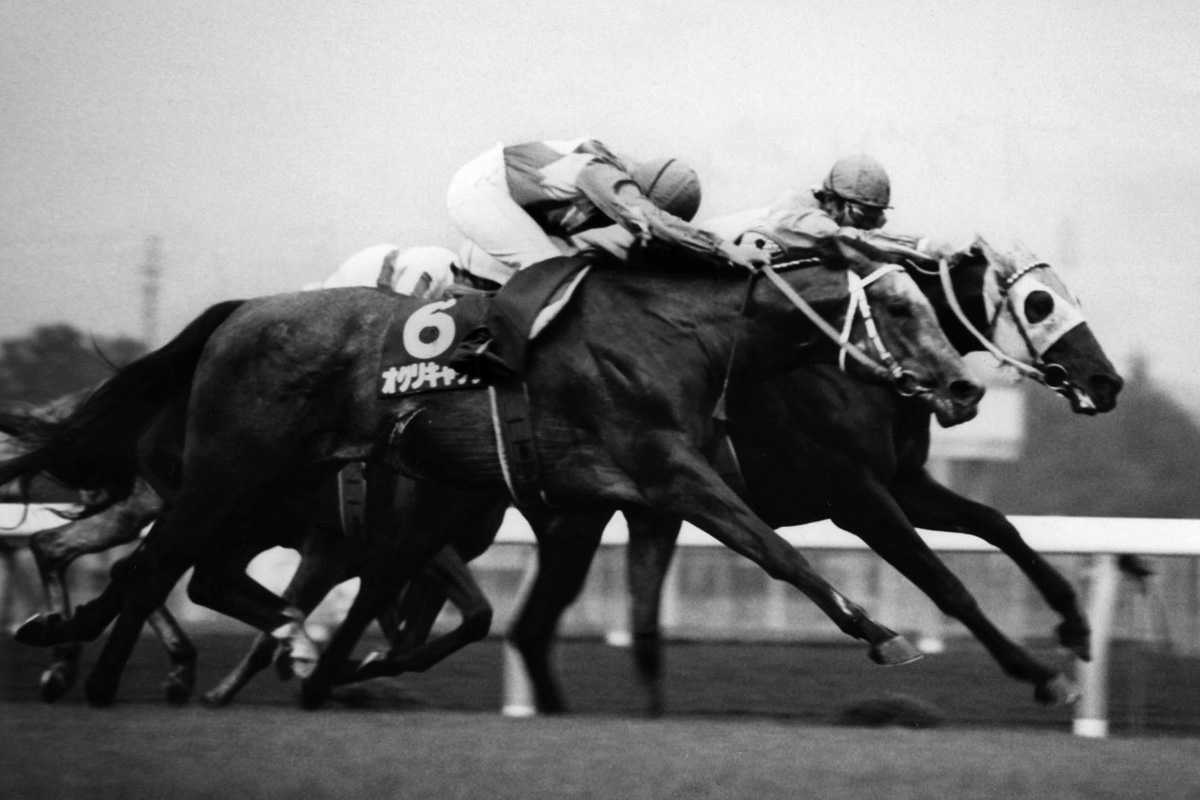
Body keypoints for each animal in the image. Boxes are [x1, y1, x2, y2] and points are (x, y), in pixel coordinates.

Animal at [1, 247, 981, 707]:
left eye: (935, 306)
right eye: (900, 309)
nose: (965, 387)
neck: (679, 336)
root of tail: (239, 313)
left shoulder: (610, 502)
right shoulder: (671, 474)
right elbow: (781, 554)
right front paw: (884, 632)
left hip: (248, 496)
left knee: (170, 570)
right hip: (222, 477)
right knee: (151, 568)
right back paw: (104, 677)